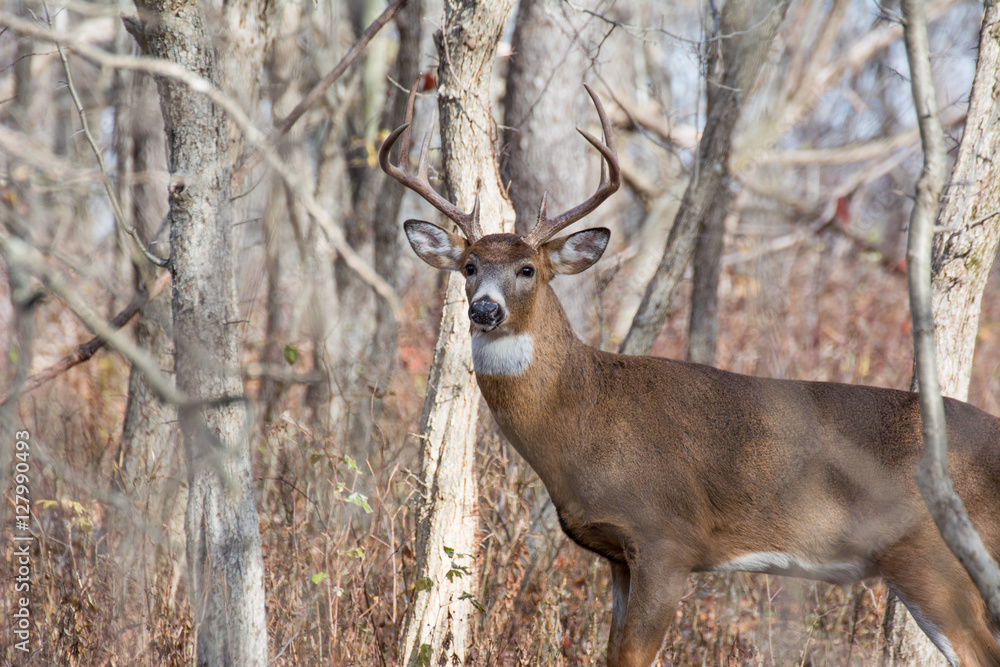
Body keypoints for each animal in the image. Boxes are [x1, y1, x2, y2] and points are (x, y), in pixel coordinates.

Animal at [379, 84, 1000, 667]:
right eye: (469, 266)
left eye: (528, 269)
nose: (485, 310)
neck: (584, 417)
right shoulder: (618, 554)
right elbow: (611, 654)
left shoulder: (667, 538)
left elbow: (634, 655)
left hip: (929, 554)